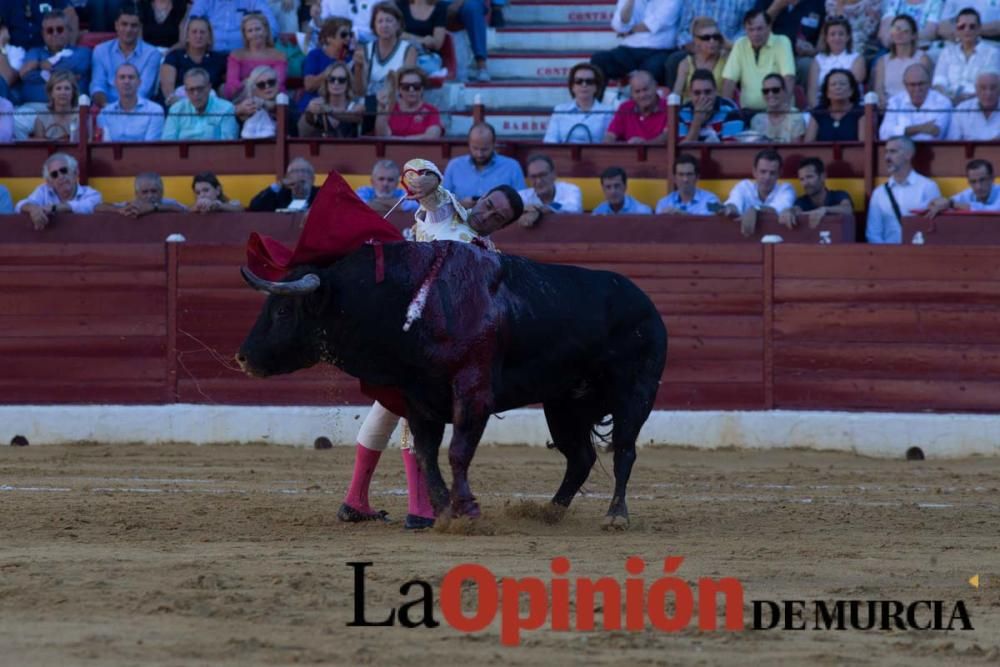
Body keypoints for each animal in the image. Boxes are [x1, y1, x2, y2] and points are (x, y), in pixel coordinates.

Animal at [238, 243, 668, 528]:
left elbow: (458, 451)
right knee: (580, 457)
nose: (243, 358)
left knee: (624, 451)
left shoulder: (473, 392)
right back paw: (549, 511)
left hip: (634, 394)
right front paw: (444, 510)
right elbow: (426, 454)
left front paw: (467, 510)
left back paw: (616, 515)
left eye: (282, 309)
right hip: (564, 404)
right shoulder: (417, 396)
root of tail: (647, 303)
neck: (412, 301)